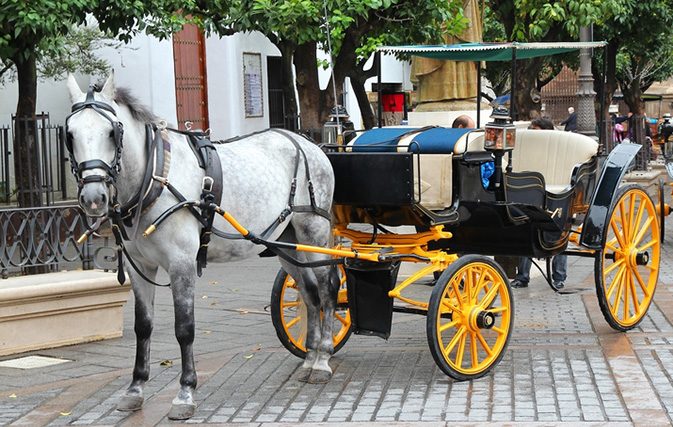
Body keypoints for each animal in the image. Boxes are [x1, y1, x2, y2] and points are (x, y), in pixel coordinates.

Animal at [65, 73, 338, 422]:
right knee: (309, 293)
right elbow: (143, 326)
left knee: (327, 290)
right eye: (70, 135)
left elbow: (185, 328)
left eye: (112, 132)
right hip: (285, 243)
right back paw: (310, 358)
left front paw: (185, 392)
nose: (93, 198)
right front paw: (135, 389)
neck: (155, 176)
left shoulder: (181, 263)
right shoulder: (140, 267)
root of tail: (306, 143)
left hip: (314, 233)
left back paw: (322, 360)